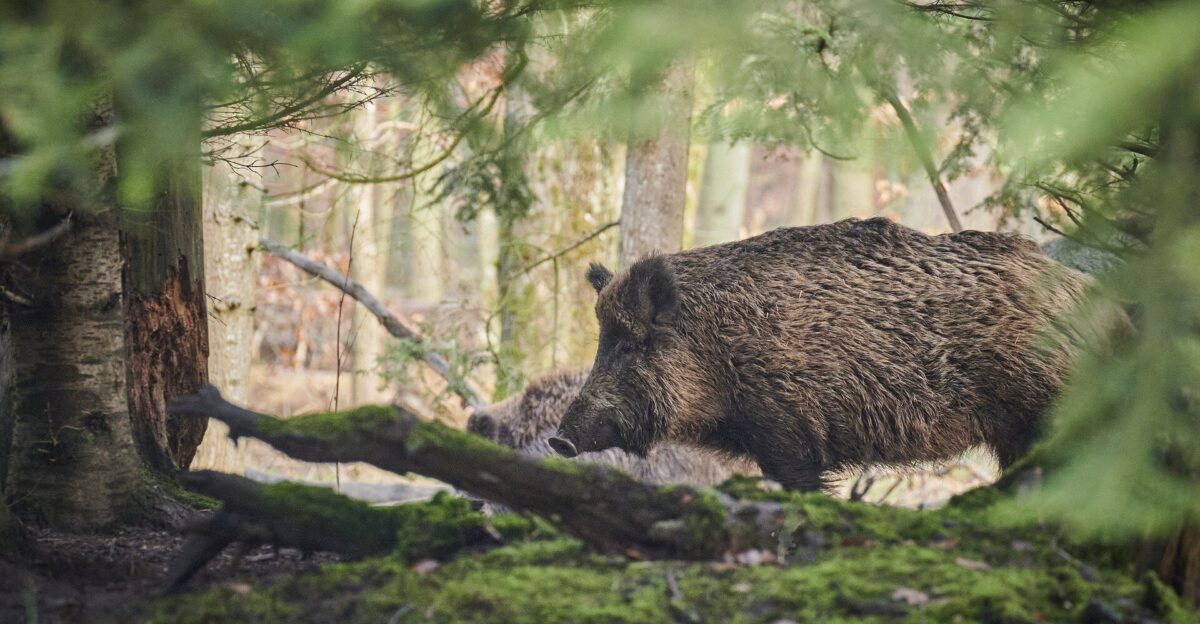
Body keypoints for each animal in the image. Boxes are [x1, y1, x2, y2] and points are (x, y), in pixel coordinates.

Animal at [550, 217, 1093, 491]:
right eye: (603, 341)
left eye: (628, 344)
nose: (559, 439)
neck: (717, 352)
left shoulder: (789, 432)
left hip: (1047, 410)